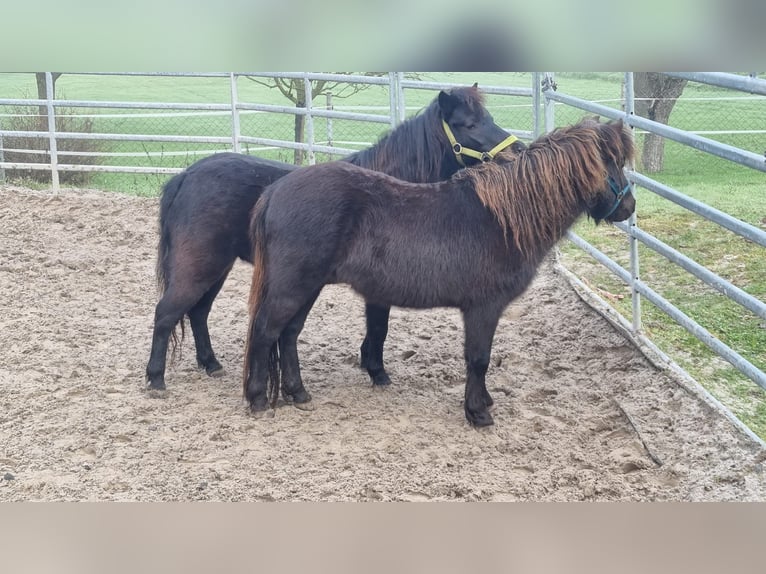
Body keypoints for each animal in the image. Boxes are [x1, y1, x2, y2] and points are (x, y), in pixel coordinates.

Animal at [146, 84, 520, 392]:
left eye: (488, 117)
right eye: (467, 124)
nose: (516, 152)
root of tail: (185, 176)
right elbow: (379, 327)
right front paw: (377, 372)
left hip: (217, 268)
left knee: (198, 312)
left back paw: (210, 363)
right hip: (200, 266)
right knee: (167, 313)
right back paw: (156, 379)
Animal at [244, 118, 636, 428]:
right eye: (613, 163)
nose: (629, 208)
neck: (502, 219)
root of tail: (275, 191)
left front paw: (484, 402)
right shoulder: (483, 309)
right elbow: (478, 359)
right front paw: (478, 412)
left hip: (307, 287)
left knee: (288, 334)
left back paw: (298, 392)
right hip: (293, 287)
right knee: (265, 331)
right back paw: (257, 398)